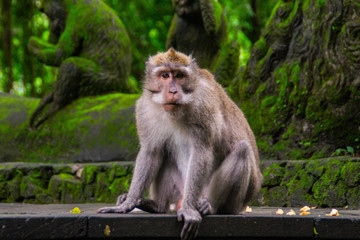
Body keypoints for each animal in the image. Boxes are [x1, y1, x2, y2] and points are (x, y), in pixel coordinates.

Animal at [97, 48, 262, 240]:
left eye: (178, 75)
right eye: (165, 75)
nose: (173, 91)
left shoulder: (203, 107)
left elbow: (201, 152)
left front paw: (189, 210)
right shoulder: (144, 109)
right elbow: (151, 153)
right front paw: (128, 203)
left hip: (236, 202)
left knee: (242, 150)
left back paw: (209, 206)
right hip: (179, 191)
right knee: (164, 155)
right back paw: (156, 206)